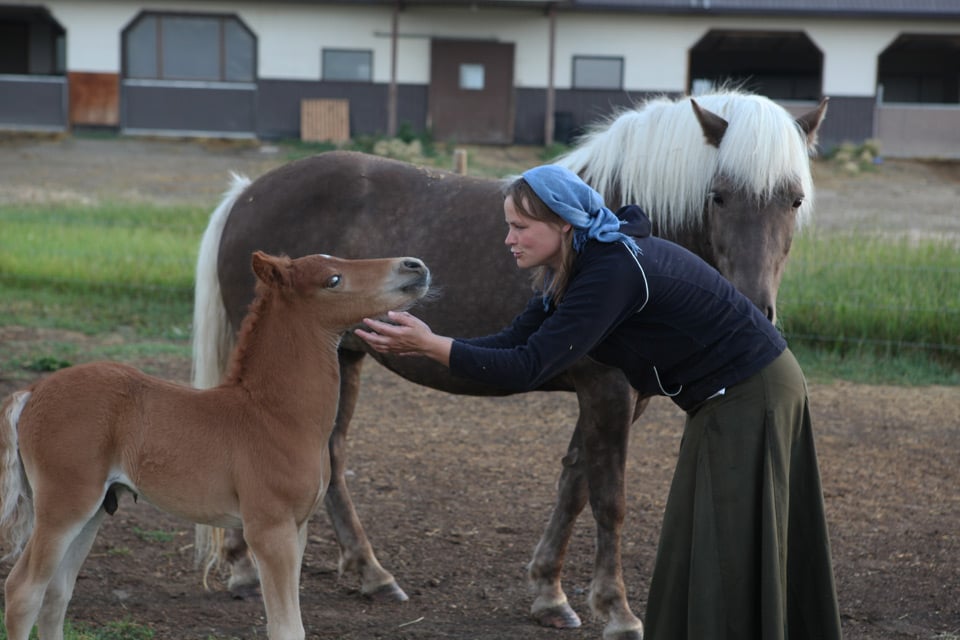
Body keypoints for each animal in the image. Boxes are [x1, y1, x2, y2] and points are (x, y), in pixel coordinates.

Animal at [0, 251, 430, 640]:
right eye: (333, 280)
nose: (415, 266)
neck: (275, 416)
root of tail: (32, 391)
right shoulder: (269, 529)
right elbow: (286, 628)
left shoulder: (298, 528)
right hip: (64, 505)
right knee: (24, 590)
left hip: (92, 512)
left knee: (57, 594)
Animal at [193, 90, 824, 640]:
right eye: (718, 195)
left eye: (794, 200)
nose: (756, 306)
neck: (607, 234)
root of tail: (247, 194)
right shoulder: (608, 392)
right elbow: (609, 499)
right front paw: (618, 612)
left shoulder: (613, 397)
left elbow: (574, 483)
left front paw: (550, 595)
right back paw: (247, 569)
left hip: (345, 358)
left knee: (333, 455)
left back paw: (369, 574)